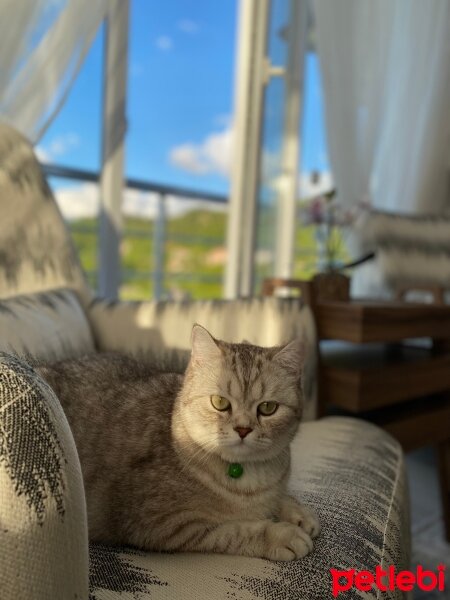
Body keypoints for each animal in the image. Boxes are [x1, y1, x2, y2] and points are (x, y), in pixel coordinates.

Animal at [37, 324, 320, 564]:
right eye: (220, 402)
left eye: (268, 408)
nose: (243, 429)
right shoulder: (164, 525)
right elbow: (235, 529)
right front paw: (279, 535)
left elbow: (279, 498)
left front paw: (296, 512)